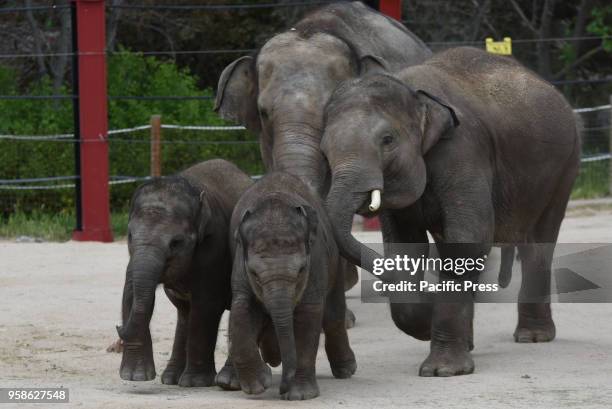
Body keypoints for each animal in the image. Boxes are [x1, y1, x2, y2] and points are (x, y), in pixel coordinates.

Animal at [116, 159, 252, 386]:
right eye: (130, 236)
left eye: (176, 242)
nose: (118, 327)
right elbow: (131, 295)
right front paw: (135, 377)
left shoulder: (213, 245)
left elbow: (206, 304)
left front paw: (195, 382)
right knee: (184, 313)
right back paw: (171, 378)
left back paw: (227, 382)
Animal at [227, 171, 356, 398]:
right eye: (255, 274)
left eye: (301, 270)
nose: (282, 387)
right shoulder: (240, 264)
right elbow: (241, 308)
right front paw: (258, 384)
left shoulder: (316, 259)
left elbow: (308, 314)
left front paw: (300, 395)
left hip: (334, 263)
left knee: (333, 314)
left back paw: (346, 370)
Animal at [320, 47, 580, 376]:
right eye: (323, 150)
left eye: (387, 140)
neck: (413, 92)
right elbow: (406, 246)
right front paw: (426, 325)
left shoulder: (463, 149)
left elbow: (469, 241)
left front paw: (442, 371)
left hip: (564, 167)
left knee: (538, 242)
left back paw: (533, 337)